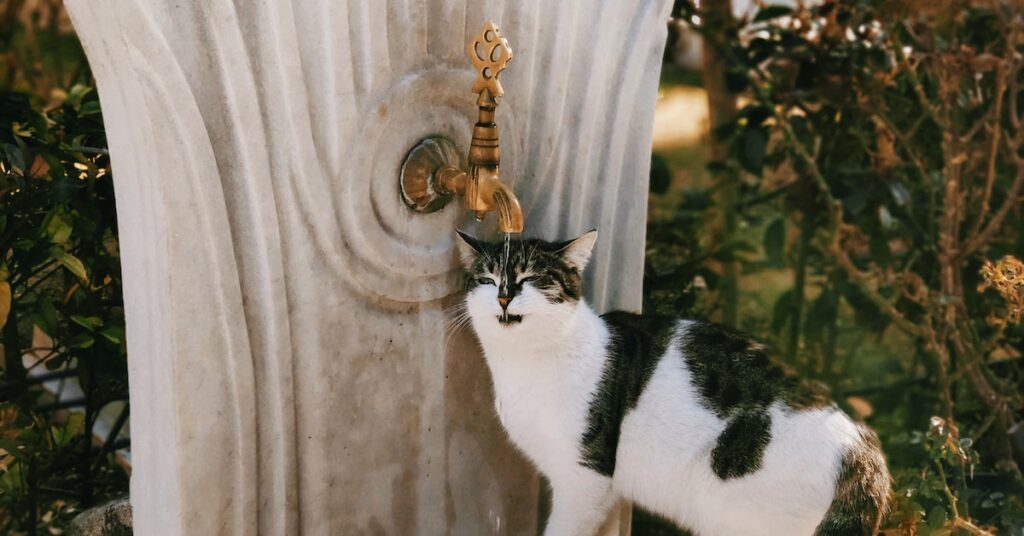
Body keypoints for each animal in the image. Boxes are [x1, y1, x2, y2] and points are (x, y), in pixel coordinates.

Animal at [454, 229, 888, 536]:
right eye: (488, 279)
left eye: (532, 278)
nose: (504, 297)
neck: (527, 363)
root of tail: (862, 448)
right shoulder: (605, 491)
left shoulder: (585, 478)